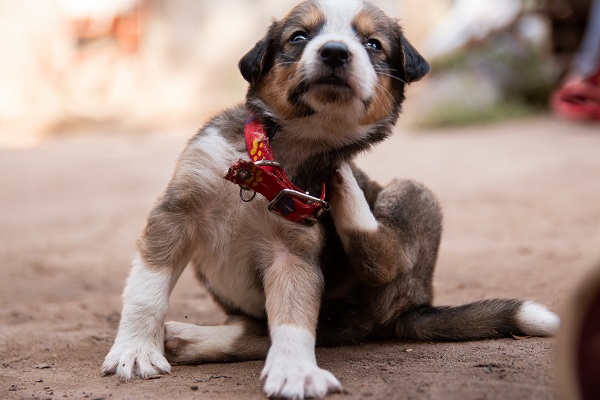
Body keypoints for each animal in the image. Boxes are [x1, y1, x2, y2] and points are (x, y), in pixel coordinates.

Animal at [102, 1, 556, 398]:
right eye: (299, 37)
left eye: (373, 44)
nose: (335, 51)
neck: (279, 159)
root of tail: (415, 304)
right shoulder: (177, 211)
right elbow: (147, 290)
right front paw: (136, 352)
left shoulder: (295, 249)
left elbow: (293, 317)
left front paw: (295, 371)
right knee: (262, 327)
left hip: (411, 198)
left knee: (376, 264)